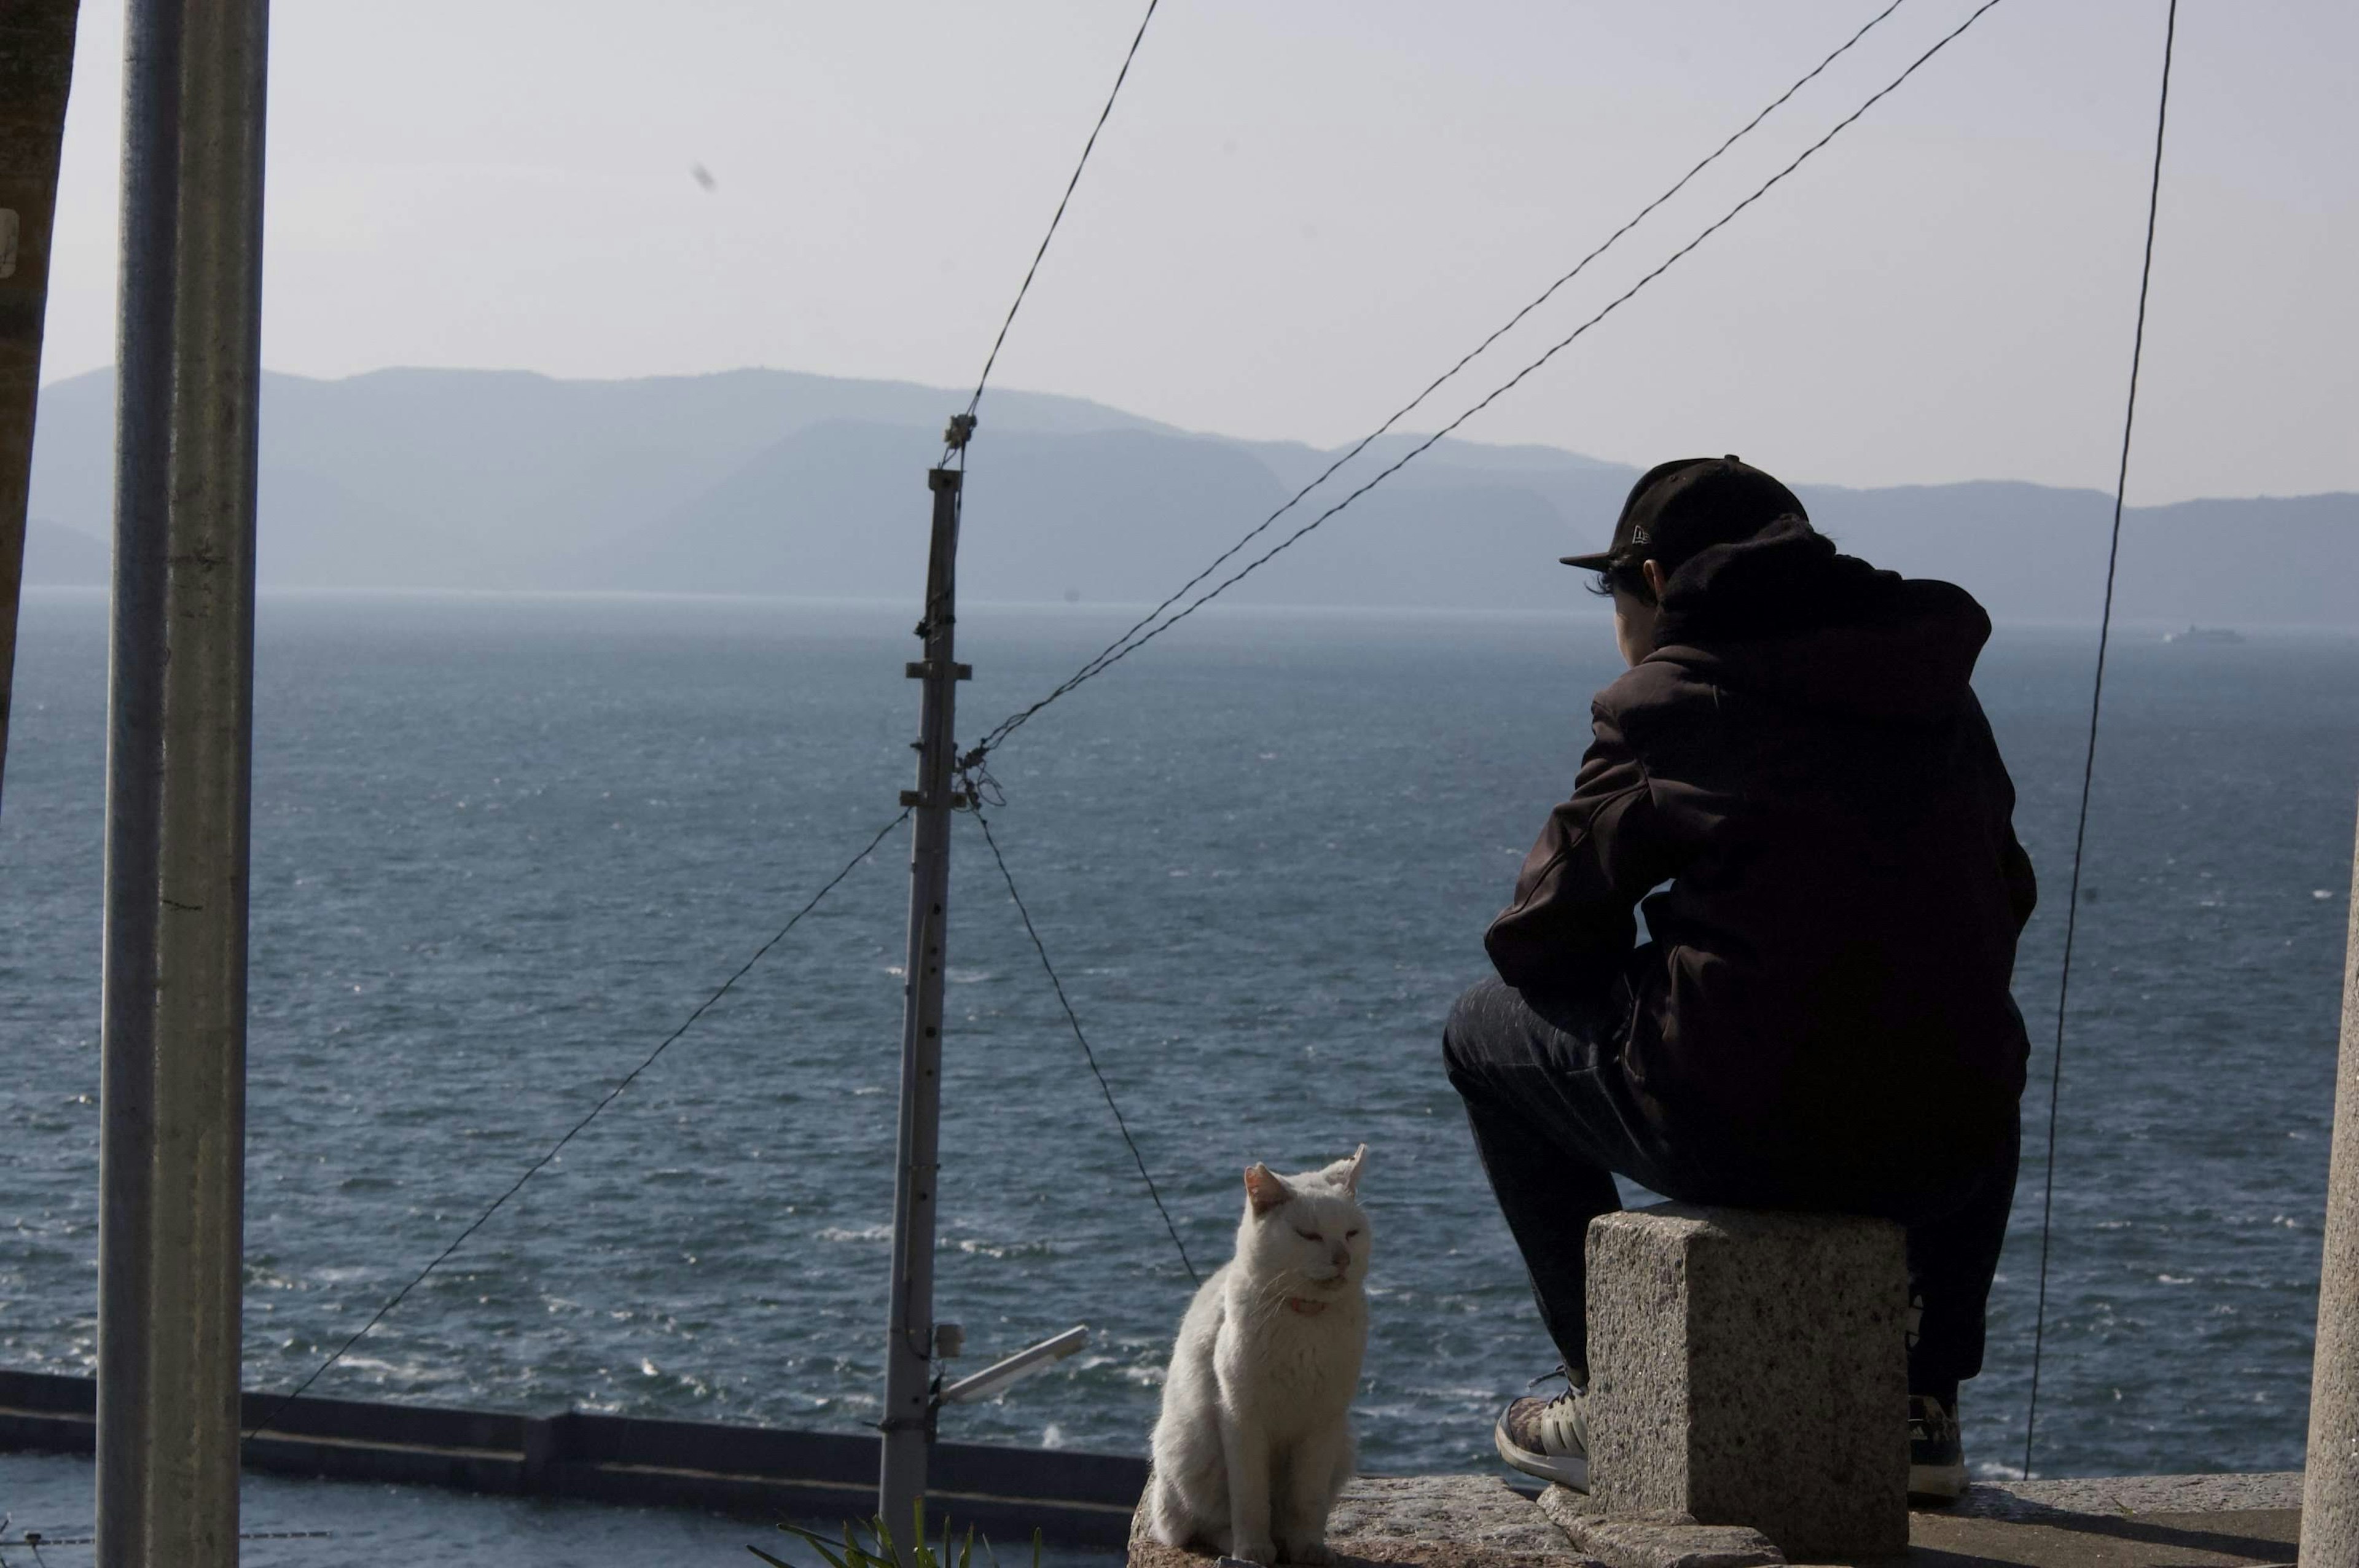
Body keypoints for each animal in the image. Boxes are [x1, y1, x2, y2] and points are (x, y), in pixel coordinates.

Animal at [1146, 1145, 1377, 1556]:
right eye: (1309, 1235)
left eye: (1352, 1233)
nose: (1343, 1259)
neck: (1306, 1322)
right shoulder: (1241, 1419)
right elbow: (1251, 1499)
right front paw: (1253, 1551)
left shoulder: (1323, 1424)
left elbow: (1308, 1500)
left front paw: (1308, 1549)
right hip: (1190, 1451)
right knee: (1192, 1528)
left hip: (1344, 1445)